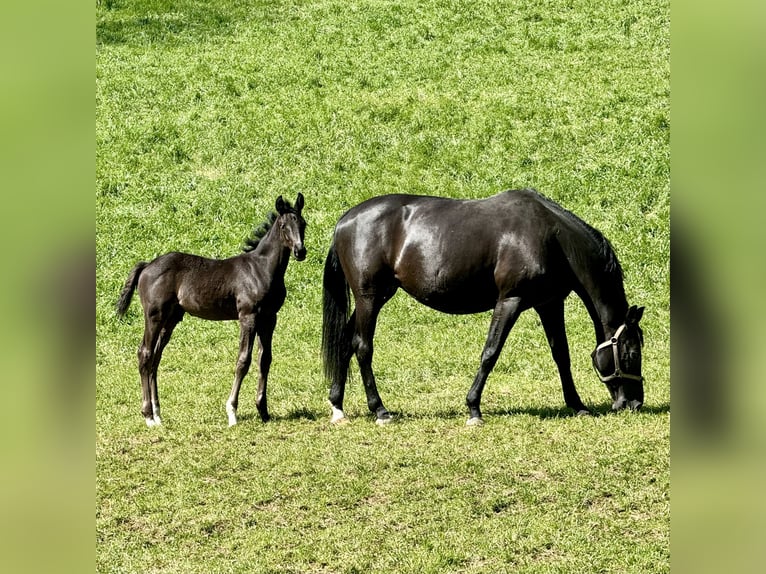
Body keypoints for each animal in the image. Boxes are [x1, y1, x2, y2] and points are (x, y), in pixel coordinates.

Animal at [116, 195, 306, 428]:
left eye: (303, 224)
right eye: (283, 226)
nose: (300, 251)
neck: (261, 269)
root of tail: (147, 266)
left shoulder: (269, 319)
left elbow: (265, 360)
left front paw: (263, 411)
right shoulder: (248, 316)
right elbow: (243, 360)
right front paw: (232, 412)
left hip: (171, 319)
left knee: (155, 358)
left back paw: (158, 414)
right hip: (154, 316)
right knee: (145, 353)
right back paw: (148, 416)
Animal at [320, 190, 644, 428]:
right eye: (631, 354)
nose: (634, 403)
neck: (552, 238)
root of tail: (345, 221)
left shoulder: (549, 304)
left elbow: (561, 355)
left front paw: (577, 405)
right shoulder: (510, 301)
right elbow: (491, 352)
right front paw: (473, 408)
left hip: (376, 297)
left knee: (345, 342)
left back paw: (338, 407)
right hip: (369, 298)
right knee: (362, 347)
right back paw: (380, 410)